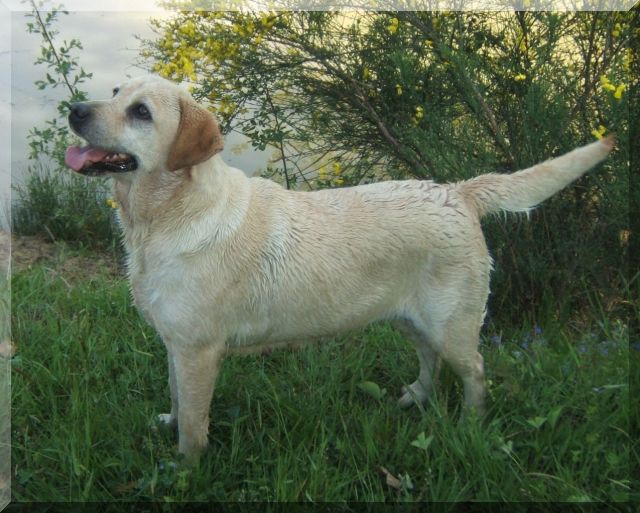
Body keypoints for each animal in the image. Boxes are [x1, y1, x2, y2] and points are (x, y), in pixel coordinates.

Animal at [65, 75, 616, 460]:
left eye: (140, 112)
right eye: (114, 91)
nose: (75, 110)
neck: (163, 218)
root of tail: (457, 192)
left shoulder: (199, 352)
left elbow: (195, 427)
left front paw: (184, 472)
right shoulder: (176, 345)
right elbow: (178, 401)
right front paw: (168, 425)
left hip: (452, 324)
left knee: (476, 373)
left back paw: (469, 427)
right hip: (408, 318)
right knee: (428, 361)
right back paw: (414, 398)